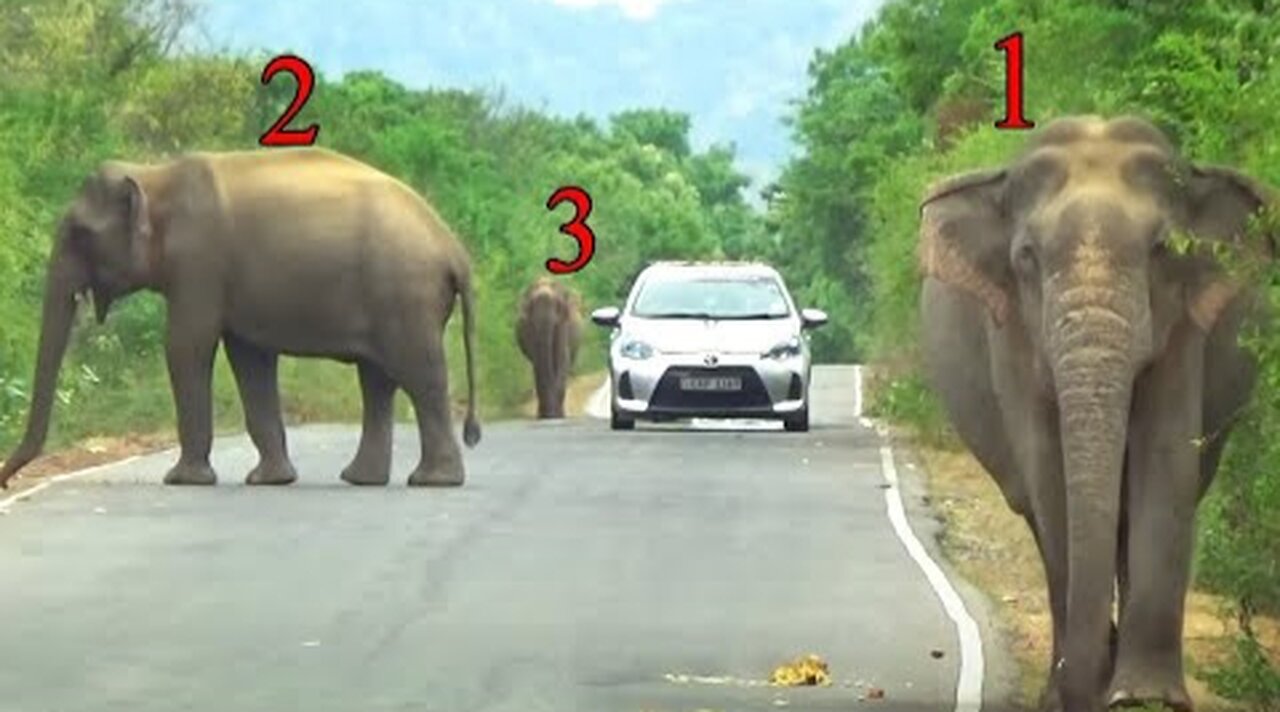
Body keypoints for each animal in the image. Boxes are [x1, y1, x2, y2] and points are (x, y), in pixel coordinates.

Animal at [0, 147, 481, 489]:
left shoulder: (200, 260)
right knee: (377, 380)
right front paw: (270, 481)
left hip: (405, 296)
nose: (6, 482)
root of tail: (454, 249)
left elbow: (186, 347)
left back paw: (433, 482)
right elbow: (250, 361)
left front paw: (182, 481)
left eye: (79, 233)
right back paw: (362, 479)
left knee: (421, 376)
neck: (157, 175)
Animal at [516, 276, 582, 419]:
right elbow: (538, 363)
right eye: (532, 304)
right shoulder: (530, 328)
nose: (550, 415)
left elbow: (562, 358)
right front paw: (544, 416)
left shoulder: (563, 323)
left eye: (557, 304)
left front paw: (558, 416)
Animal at [918, 116, 1273, 711]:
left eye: (1161, 248)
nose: (1082, 681)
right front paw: (1078, 694)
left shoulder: (1184, 322)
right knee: (1036, 512)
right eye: (1026, 257)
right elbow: (1047, 468)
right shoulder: (1011, 331)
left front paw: (1142, 698)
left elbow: (1166, 457)